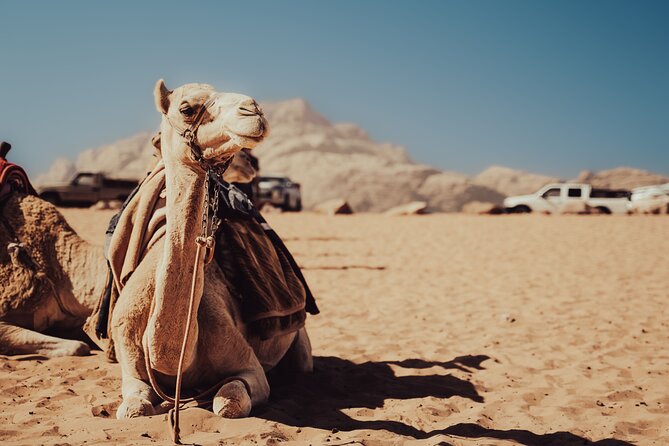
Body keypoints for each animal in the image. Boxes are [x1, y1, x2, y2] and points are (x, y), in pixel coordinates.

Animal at [109, 80, 313, 420]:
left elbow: (228, 403)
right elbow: (133, 407)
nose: (254, 110)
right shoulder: (128, 358)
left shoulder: (251, 369)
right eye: (186, 108)